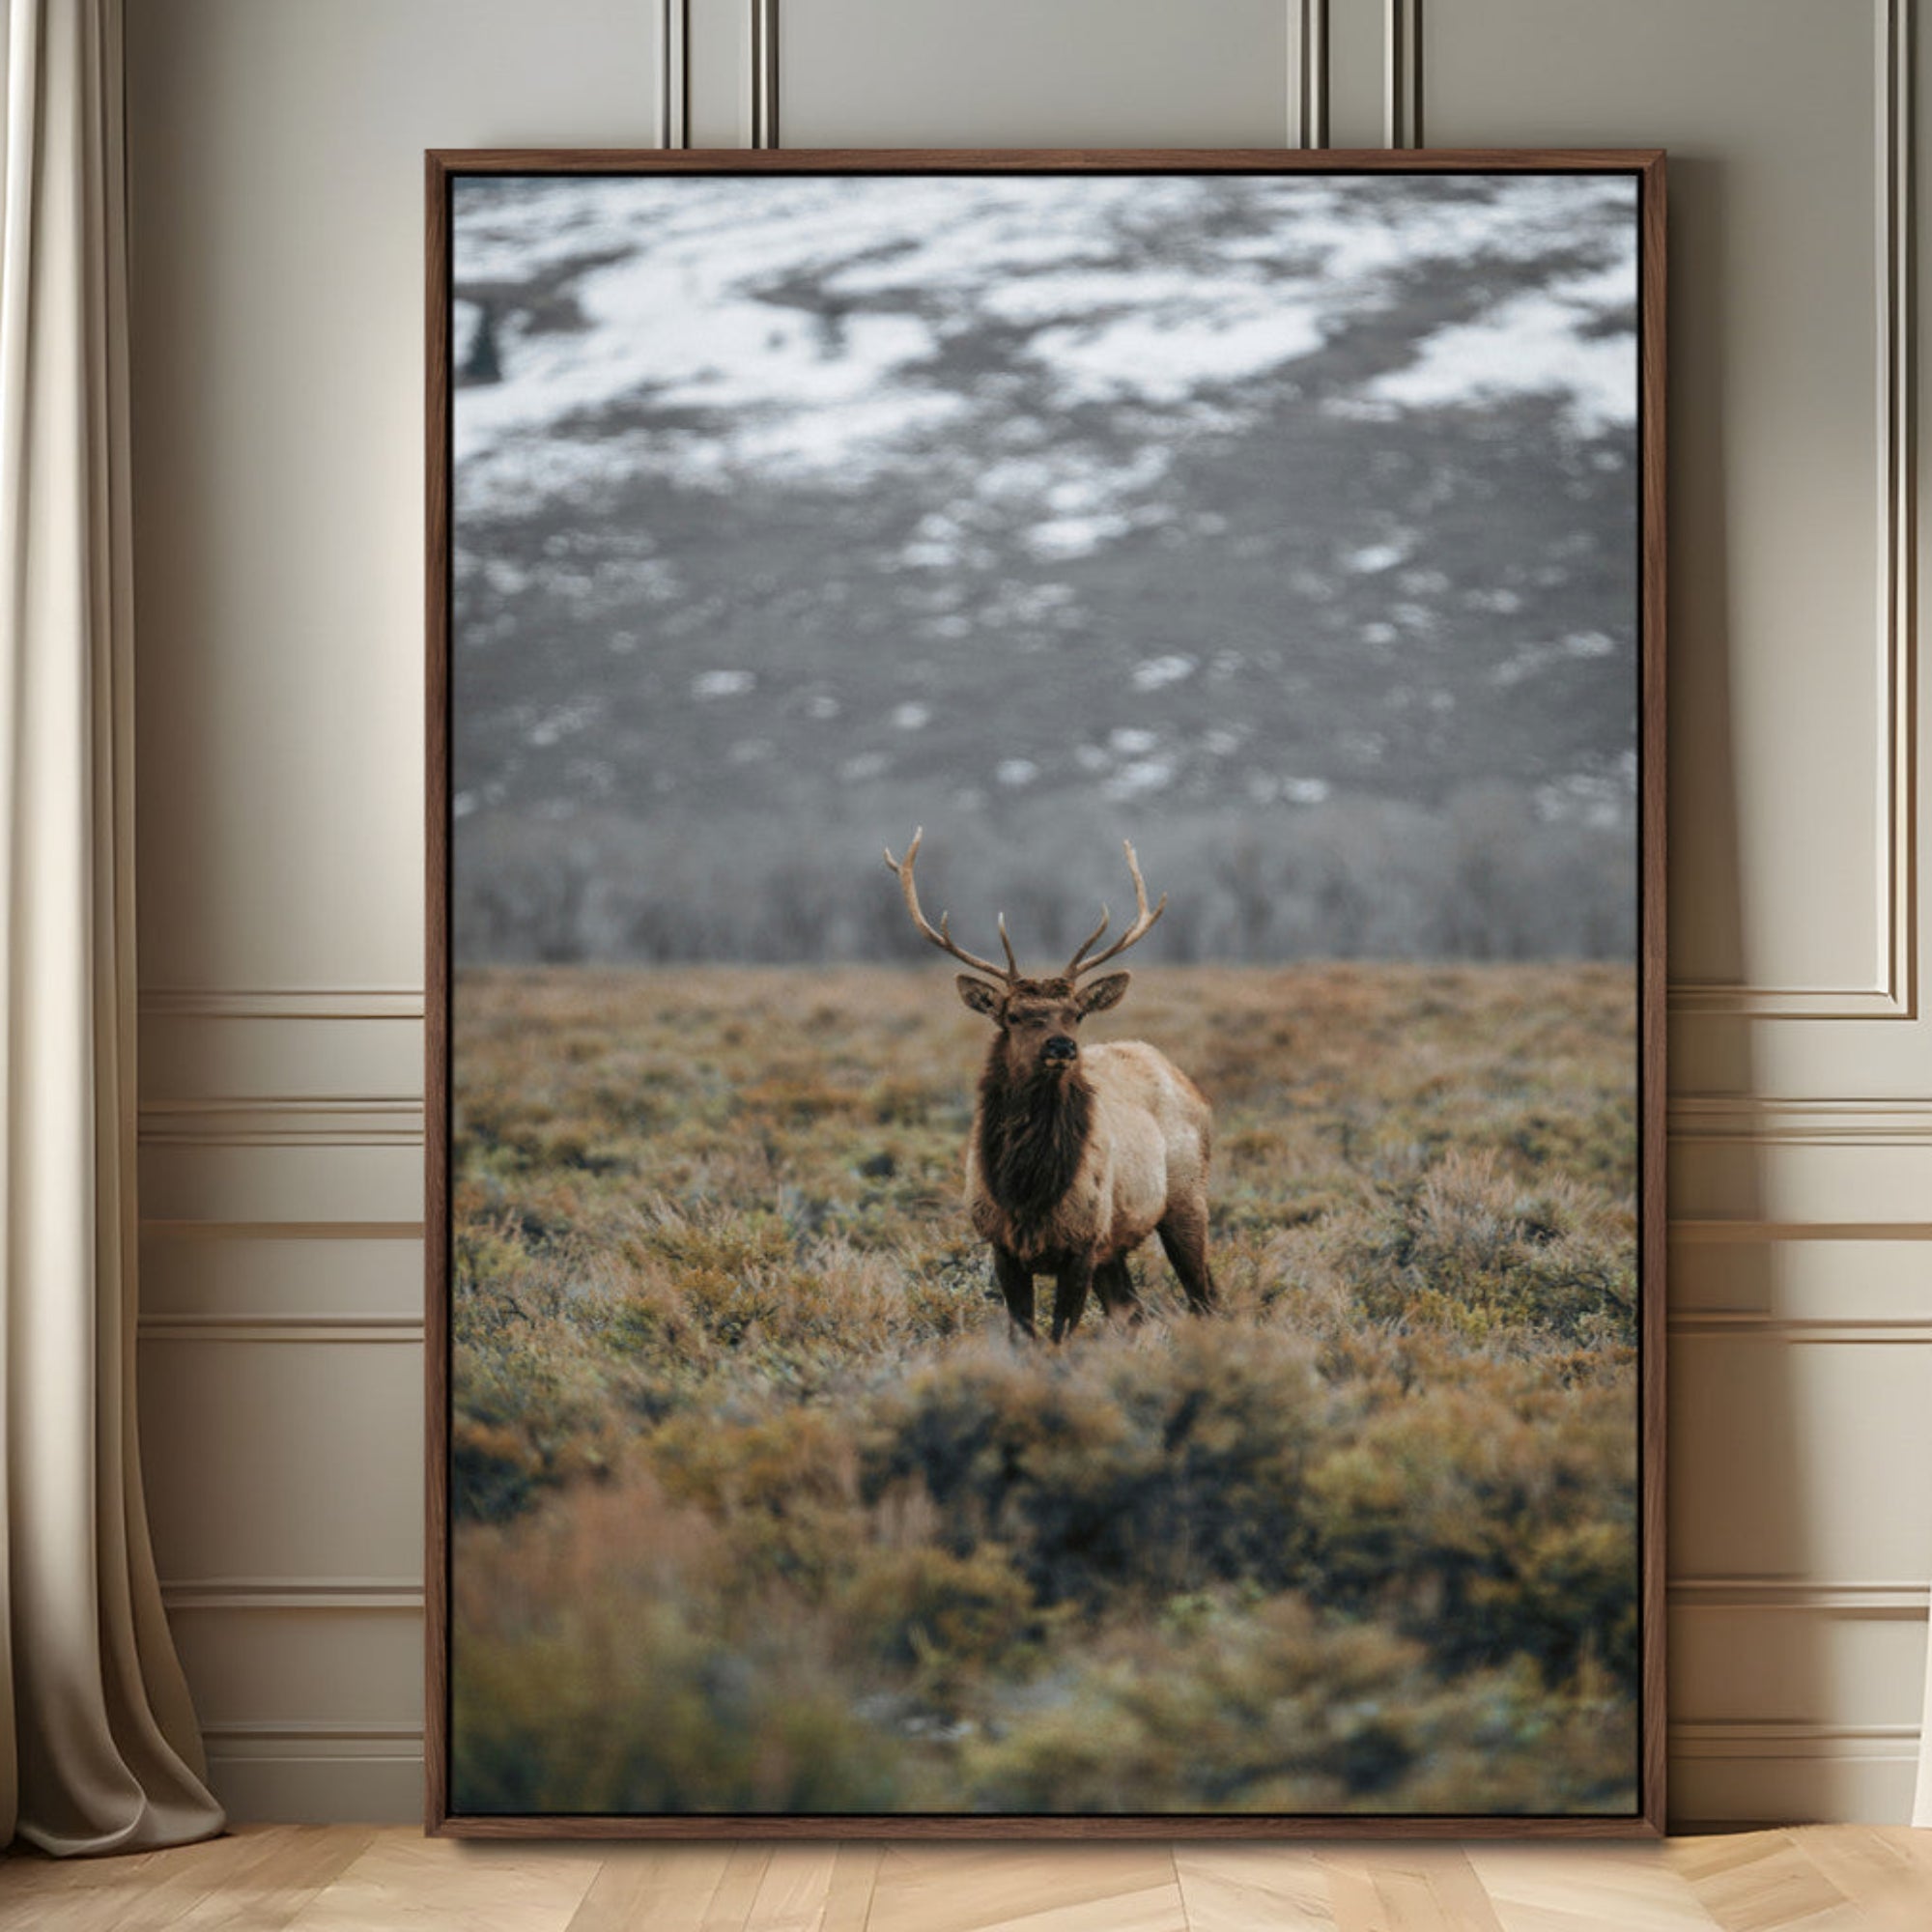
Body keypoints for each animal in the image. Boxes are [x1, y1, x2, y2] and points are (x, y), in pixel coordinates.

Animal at [884, 829, 1215, 1342]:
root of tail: (1182, 1078)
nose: (1062, 1045)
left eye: (1075, 1013)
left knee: (1205, 1299)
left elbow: (1058, 1337)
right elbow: (1025, 1338)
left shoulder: (1082, 1242)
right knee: (1133, 1312)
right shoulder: (1002, 1245)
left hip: (1186, 1196)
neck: (1027, 1191)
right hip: (1118, 1243)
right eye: (1015, 1015)